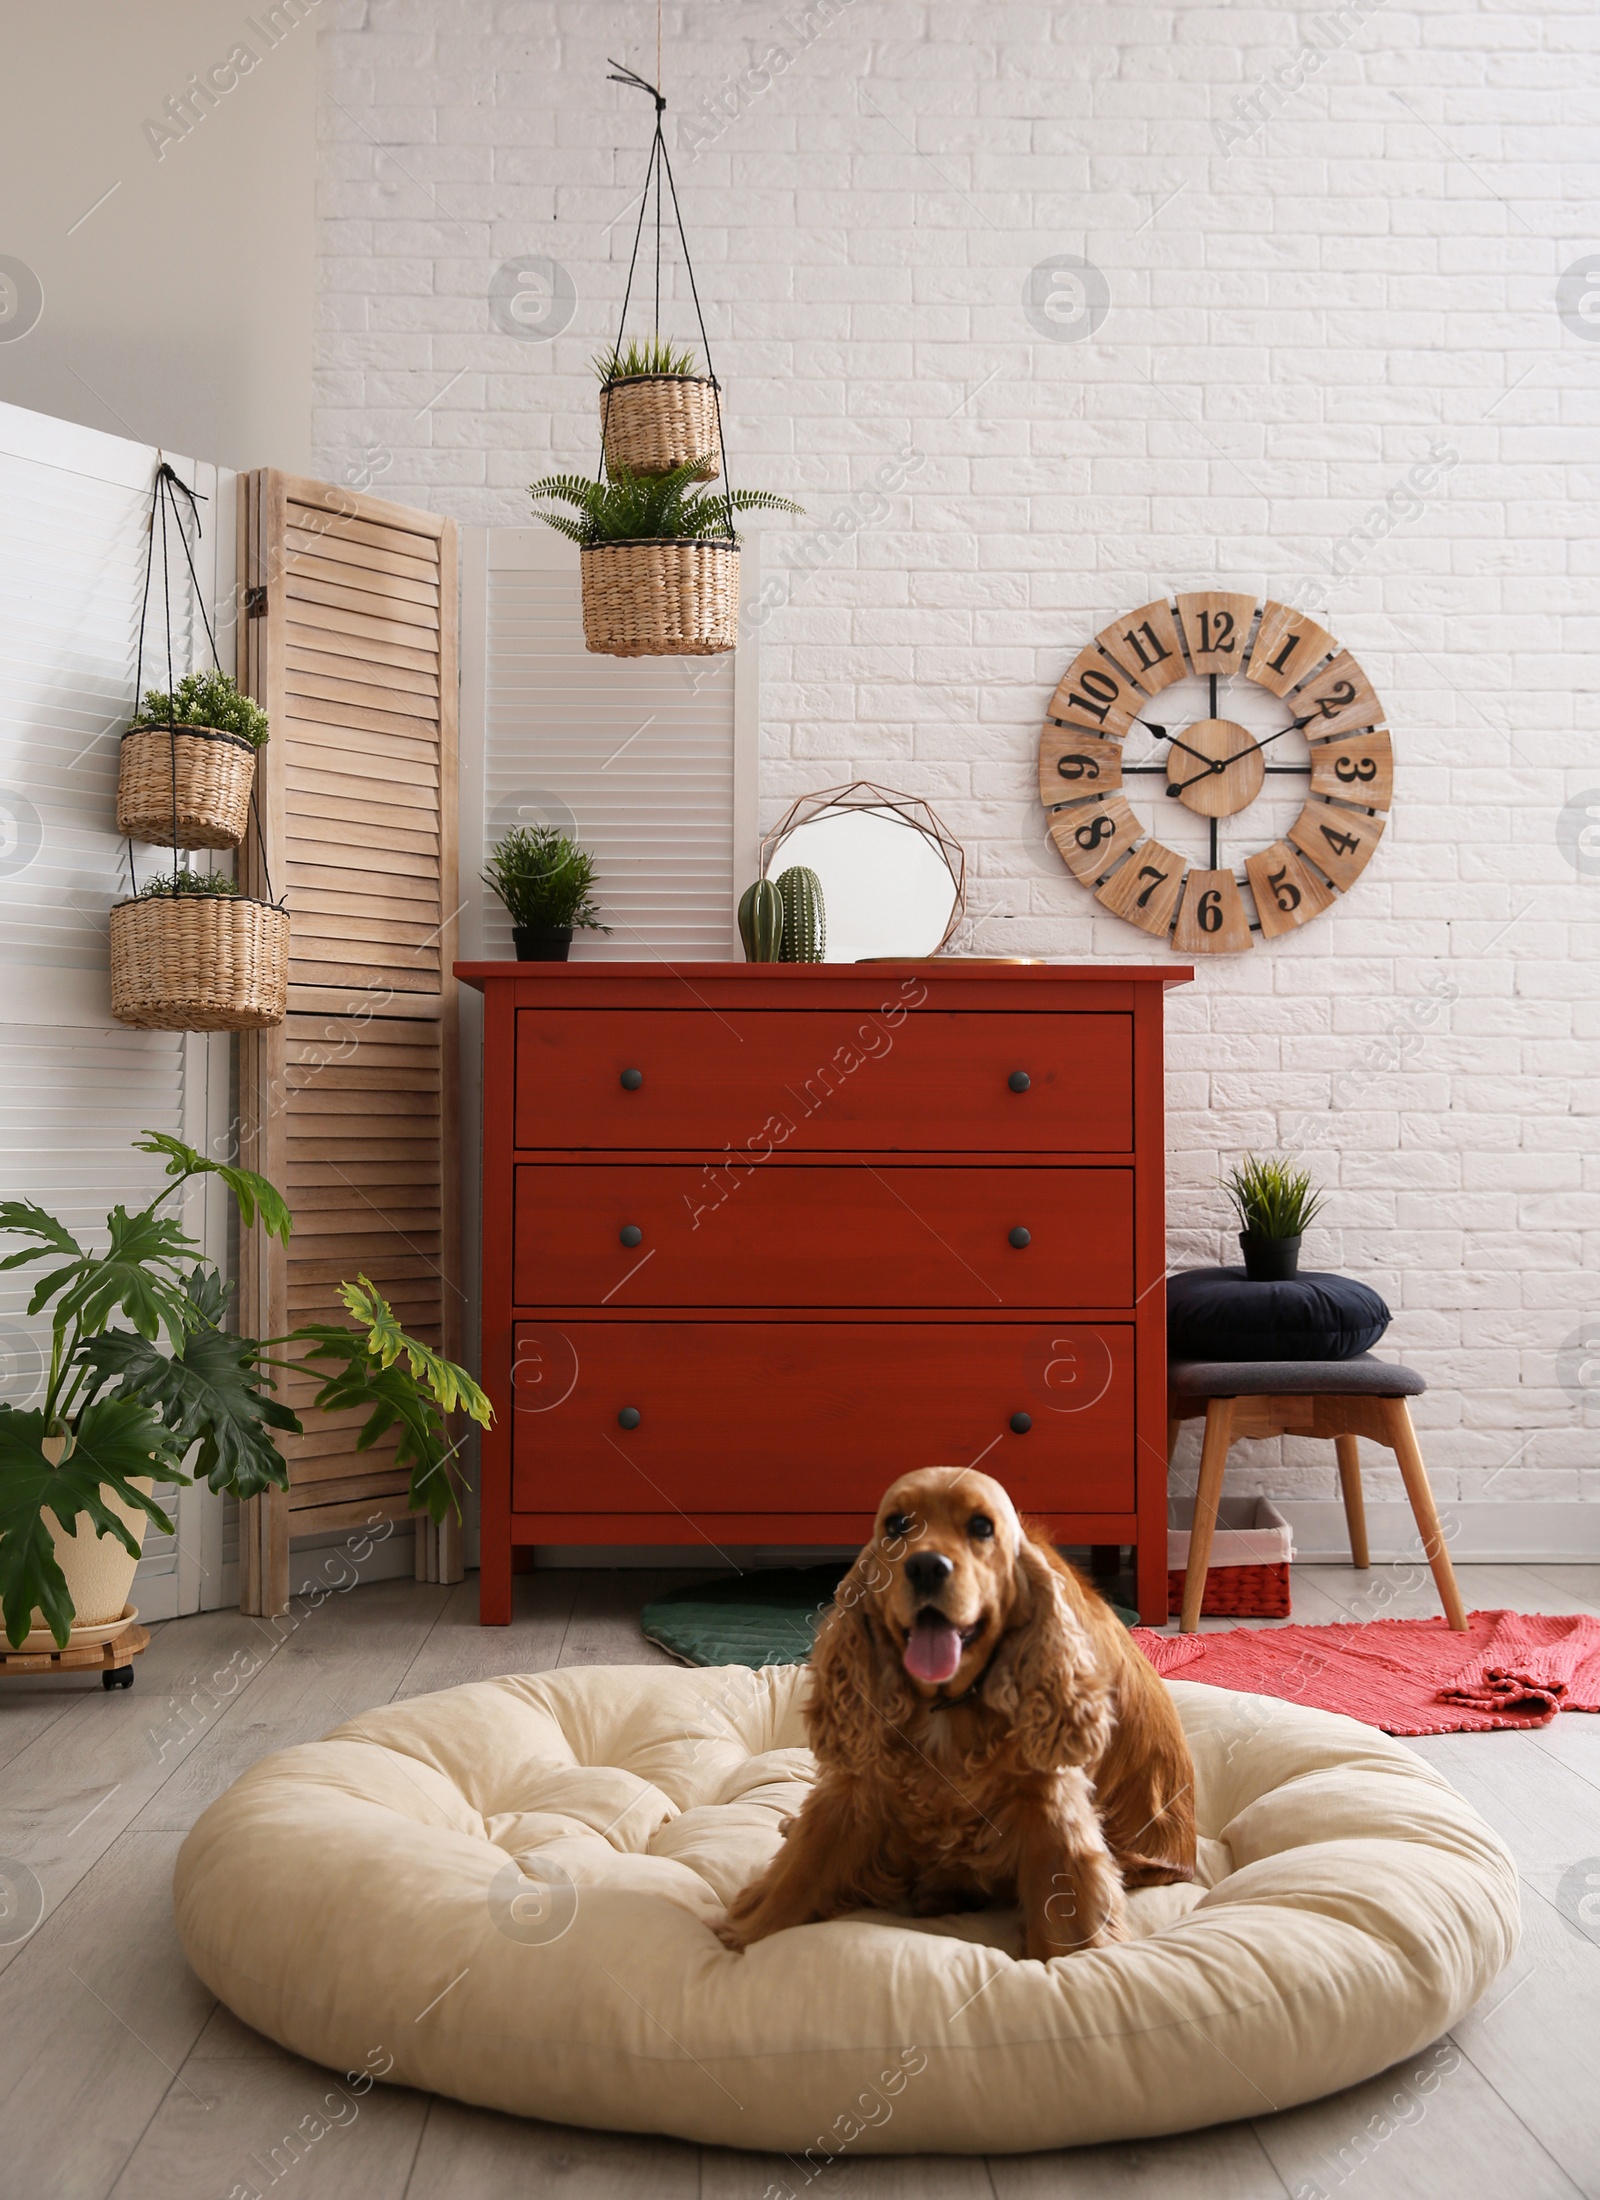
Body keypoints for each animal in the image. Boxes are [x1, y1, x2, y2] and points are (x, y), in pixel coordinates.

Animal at [721, 1460, 1197, 1962]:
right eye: (897, 1525)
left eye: (981, 1527)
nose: (927, 1566)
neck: (945, 1709)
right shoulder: (858, 1786)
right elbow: (800, 1871)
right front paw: (743, 1936)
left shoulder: (1049, 1801)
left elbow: (1066, 1910)